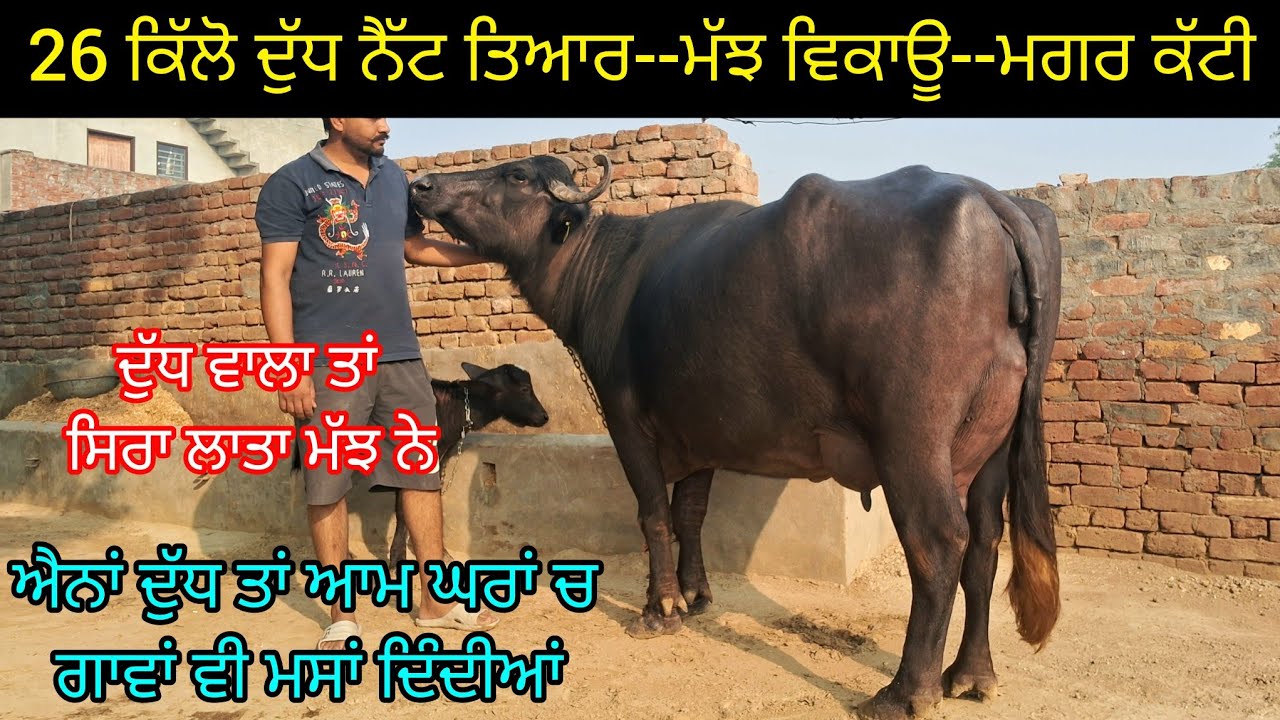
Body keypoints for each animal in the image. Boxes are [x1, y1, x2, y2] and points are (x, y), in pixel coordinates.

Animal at [408, 151, 1063, 720]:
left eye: (515, 176)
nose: (422, 186)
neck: (605, 271)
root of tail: (989, 200)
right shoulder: (699, 431)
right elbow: (691, 512)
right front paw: (696, 595)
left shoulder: (627, 421)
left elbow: (655, 513)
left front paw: (661, 607)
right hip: (993, 444)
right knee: (985, 543)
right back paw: (971, 673)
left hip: (912, 439)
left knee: (939, 543)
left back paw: (906, 691)